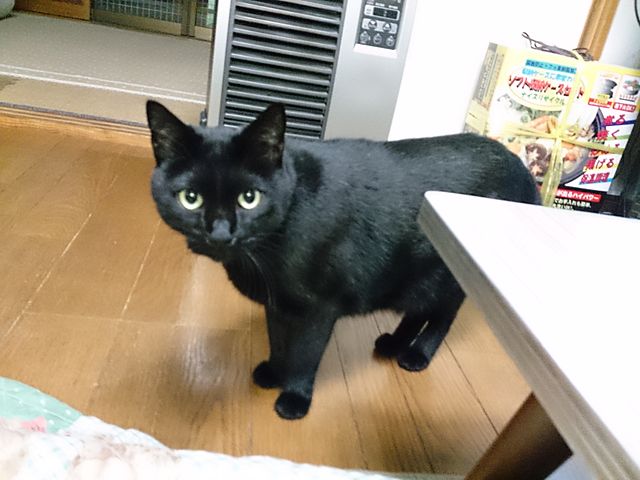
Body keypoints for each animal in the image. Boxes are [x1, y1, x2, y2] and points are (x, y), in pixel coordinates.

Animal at [146, 100, 540, 420]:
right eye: (190, 198)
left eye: (249, 198)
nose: (219, 233)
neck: (264, 255)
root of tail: (521, 167)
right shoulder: (277, 303)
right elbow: (278, 339)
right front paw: (274, 371)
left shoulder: (319, 307)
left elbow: (305, 353)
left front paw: (295, 397)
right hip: (408, 275)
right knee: (417, 310)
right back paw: (394, 343)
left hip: (448, 274)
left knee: (443, 313)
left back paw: (417, 354)